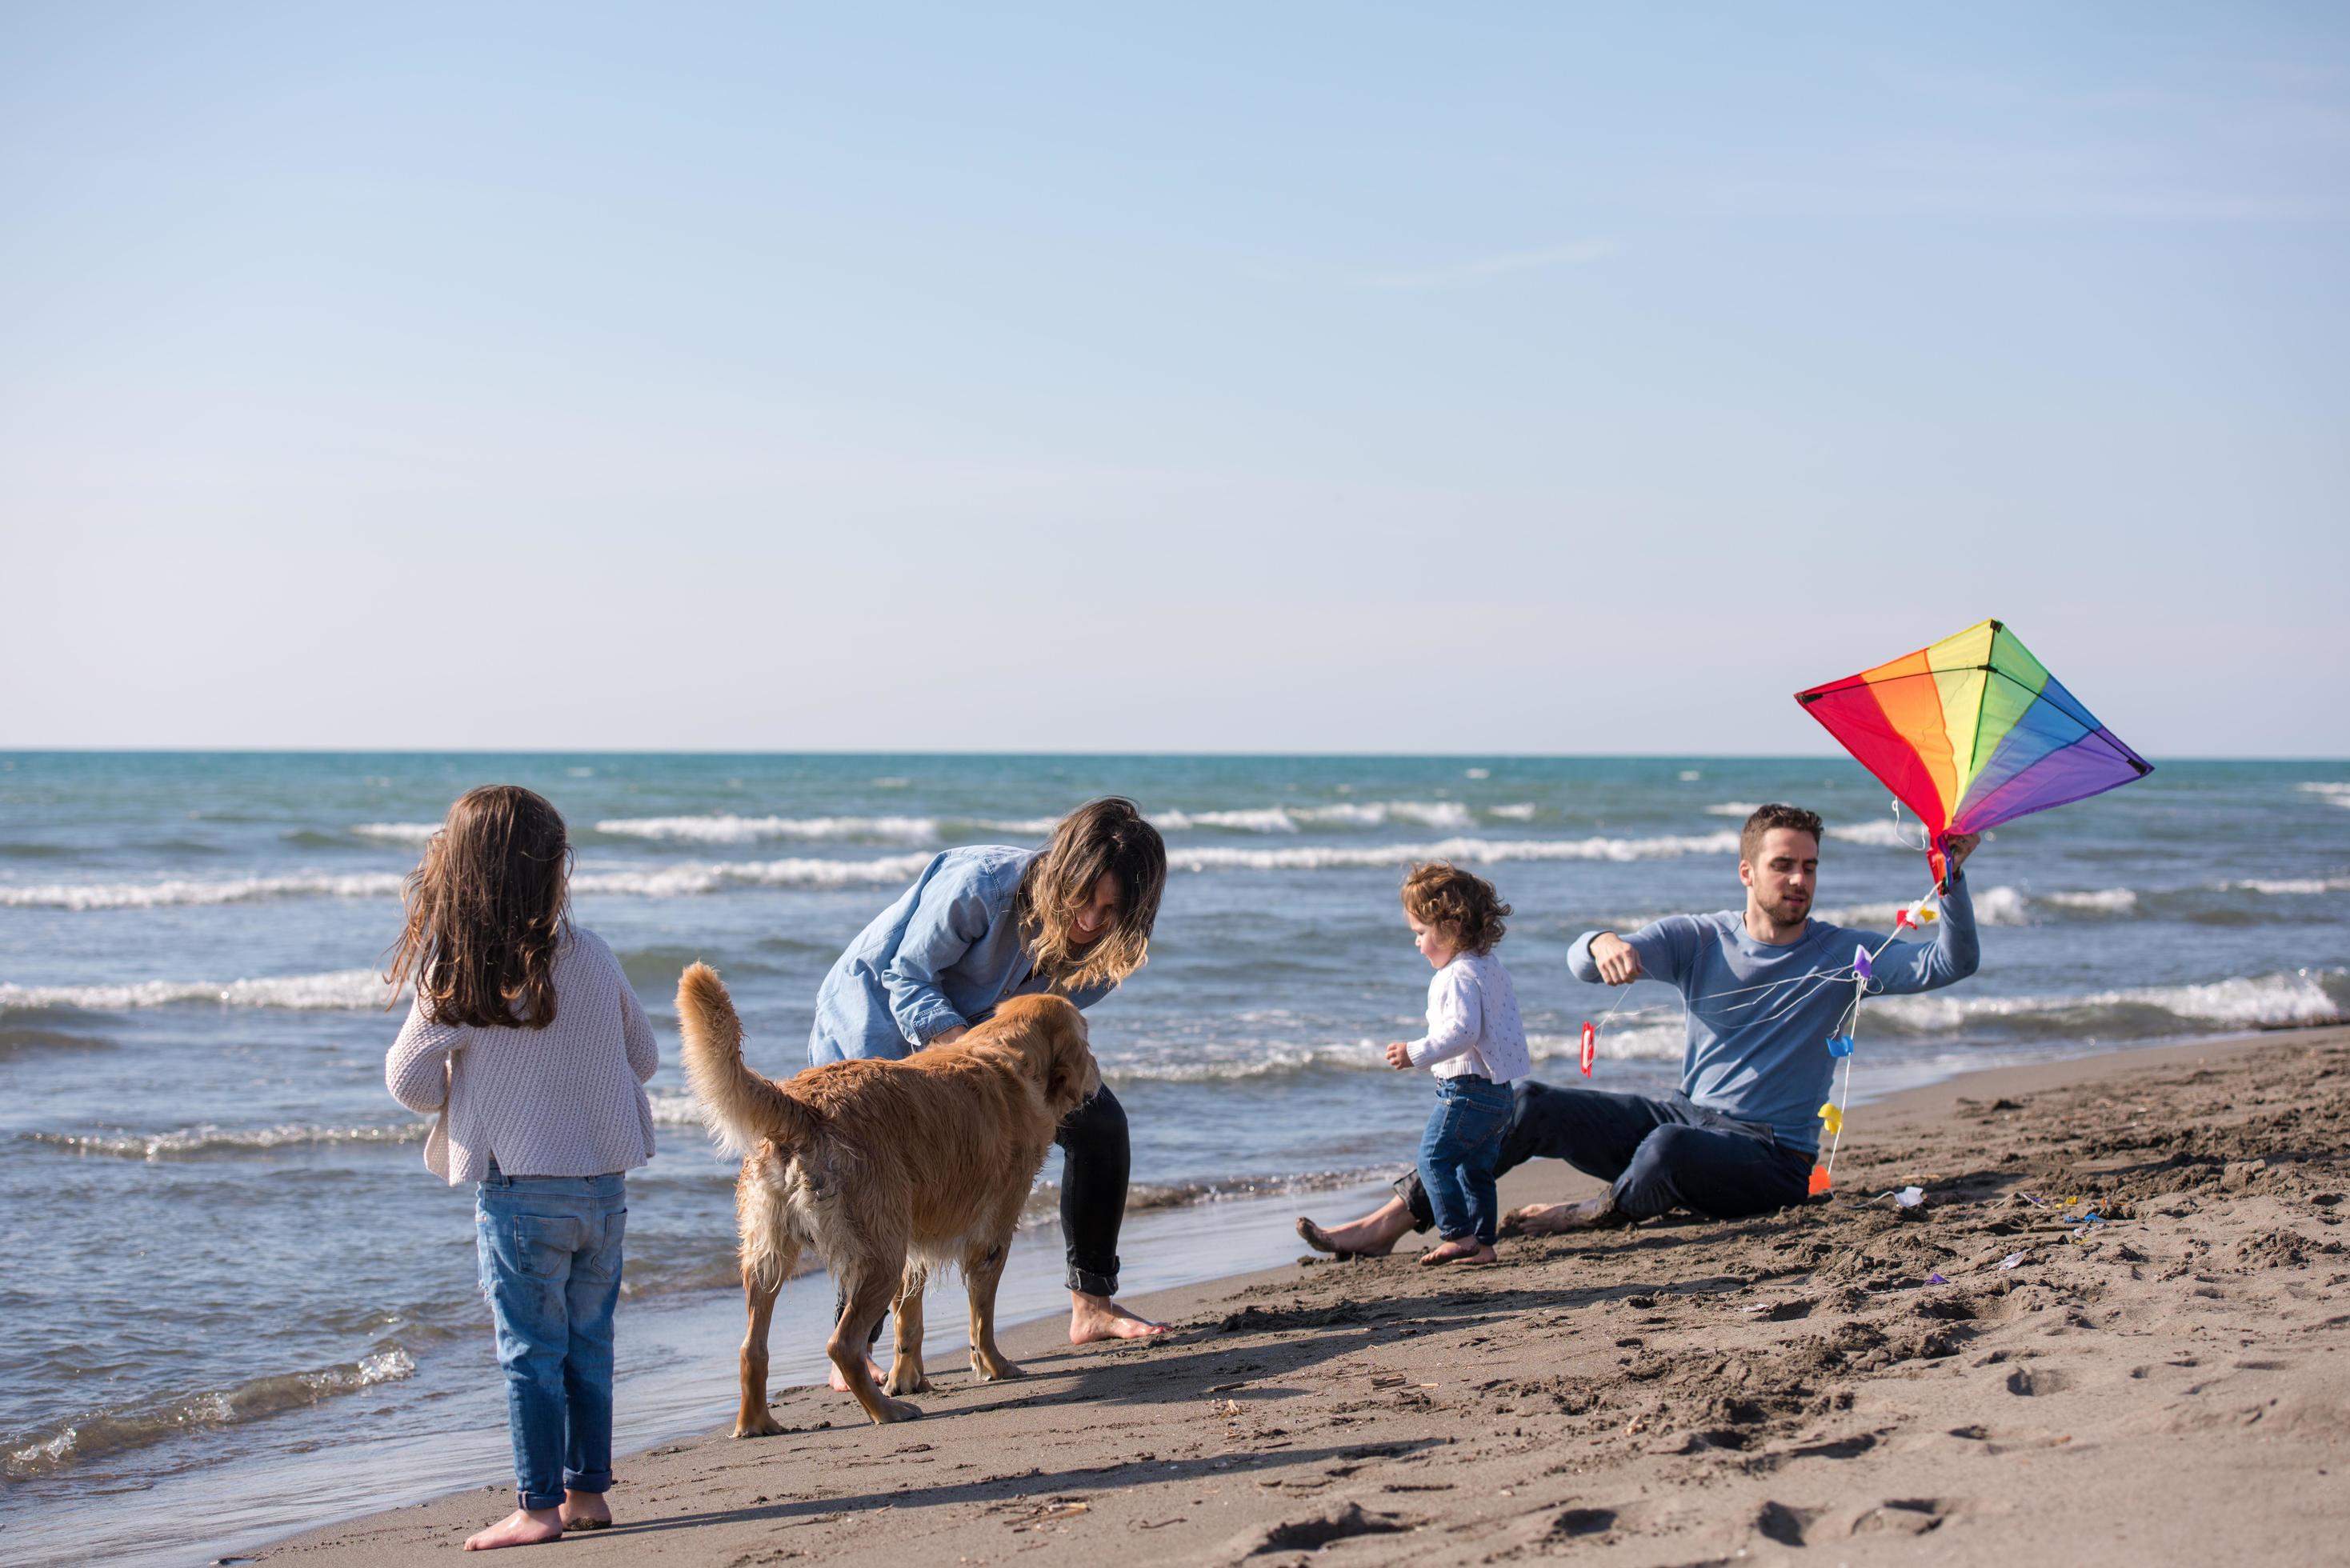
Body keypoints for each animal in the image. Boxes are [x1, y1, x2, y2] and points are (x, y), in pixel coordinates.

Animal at [667, 963, 1095, 1429]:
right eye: (1087, 1039)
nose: (1097, 1074)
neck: (1006, 1053)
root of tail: (804, 1105)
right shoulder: (991, 1237)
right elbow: (982, 1318)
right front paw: (994, 1366)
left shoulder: (911, 1240)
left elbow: (909, 1320)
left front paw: (907, 1377)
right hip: (877, 1254)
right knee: (842, 1344)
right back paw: (885, 1411)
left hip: (772, 1253)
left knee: (752, 1348)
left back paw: (757, 1424)